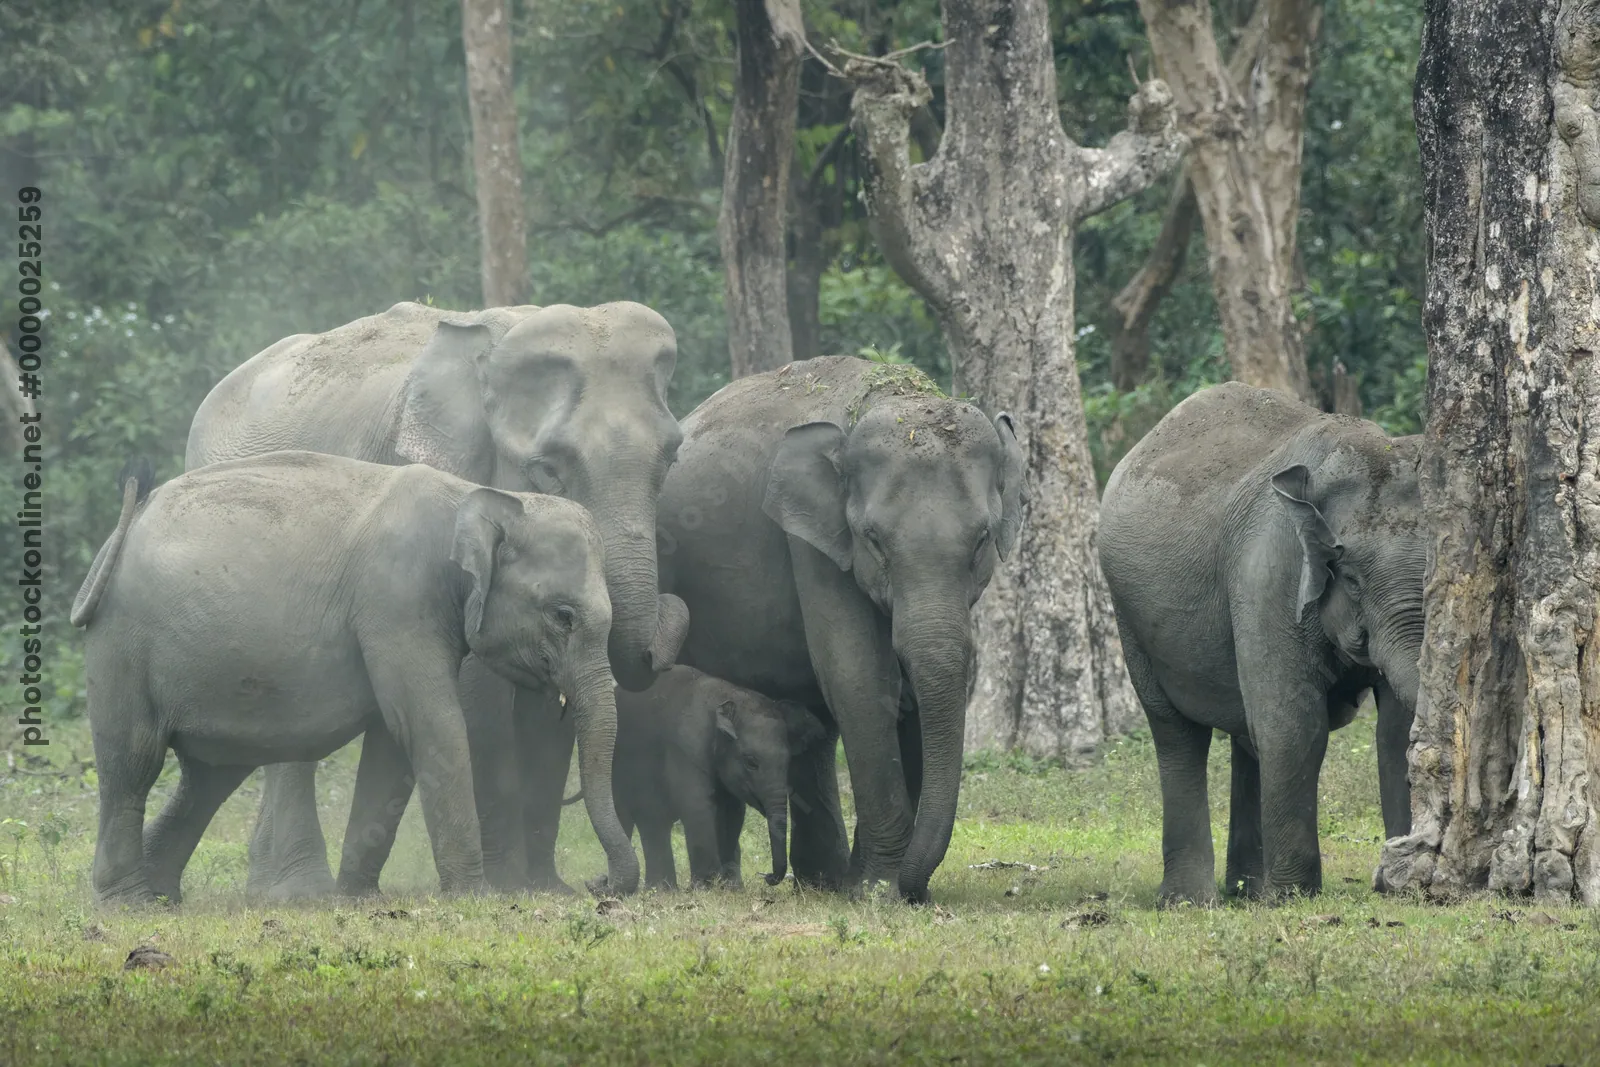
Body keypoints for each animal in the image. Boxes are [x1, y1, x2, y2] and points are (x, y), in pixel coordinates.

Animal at [70, 451, 638, 906]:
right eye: (562, 615)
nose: (599, 885)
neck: (479, 498)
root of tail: (118, 538)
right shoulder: (398, 600)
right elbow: (431, 724)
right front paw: (476, 898)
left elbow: (392, 742)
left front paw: (358, 898)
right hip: (122, 647)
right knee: (133, 761)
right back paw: (129, 906)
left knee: (208, 778)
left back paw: (162, 897)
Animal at [184, 300, 688, 899]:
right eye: (548, 467)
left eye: (672, 456)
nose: (599, 885)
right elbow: (477, 702)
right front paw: (508, 886)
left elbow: (546, 712)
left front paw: (546, 888)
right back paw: (295, 891)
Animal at [600, 666, 827, 890]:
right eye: (751, 762)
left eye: (788, 762)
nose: (768, 877)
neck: (727, 698)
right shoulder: (684, 749)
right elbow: (697, 806)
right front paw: (705, 888)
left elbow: (733, 812)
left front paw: (731, 888)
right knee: (646, 818)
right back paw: (657, 891)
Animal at [652, 356, 1025, 903]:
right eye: (873, 539)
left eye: (981, 539)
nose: (918, 893)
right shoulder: (812, 540)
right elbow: (858, 676)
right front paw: (879, 889)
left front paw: (875, 885)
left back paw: (825, 880)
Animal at [1097, 382, 1425, 905]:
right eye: (1352, 579)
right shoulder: (1268, 576)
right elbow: (1293, 725)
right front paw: (1294, 897)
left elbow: (1396, 728)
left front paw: (1399, 881)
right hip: (1129, 617)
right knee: (1176, 733)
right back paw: (1191, 901)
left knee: (1245, 734)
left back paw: (1246, 892)